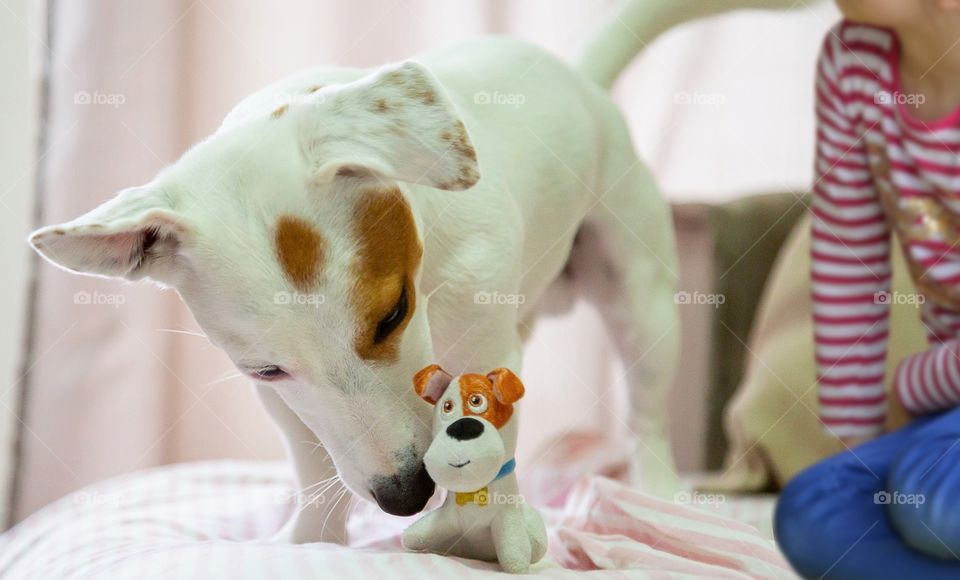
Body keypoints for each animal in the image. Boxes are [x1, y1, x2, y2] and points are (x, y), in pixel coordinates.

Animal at [28, 0, 804, 544]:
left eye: (392, 314)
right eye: (267, 370)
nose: (404, 496)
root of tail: (580, 76)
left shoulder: (489, 350)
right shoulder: (280, 401)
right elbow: (313, 459)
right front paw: (312, 539)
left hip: (640, 299)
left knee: (645, 416)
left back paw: (658, 489)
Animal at [400, 364, 548, 572]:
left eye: (477, 401)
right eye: (447, 406)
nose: (461, 428)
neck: (474, 492)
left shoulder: (506, 517)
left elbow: (513, 547)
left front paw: (516, 566)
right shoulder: (449, 518)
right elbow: (419, 533)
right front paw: (410, 538)